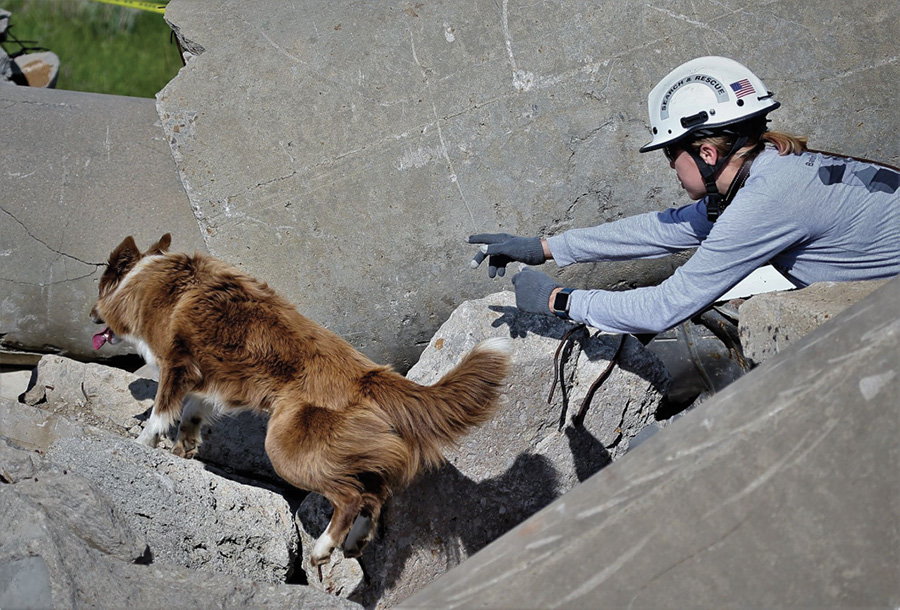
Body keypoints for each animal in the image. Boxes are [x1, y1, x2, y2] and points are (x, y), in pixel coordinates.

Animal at [91, 234, 512, 564]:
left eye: (98, 289)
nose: (91, 314)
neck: (150, 278)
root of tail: (368, 375)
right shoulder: (208, 380)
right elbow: (192, 413)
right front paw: (184, 448)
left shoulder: (178, 365)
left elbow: (161, 411)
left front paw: (143, 443)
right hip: (354, 446)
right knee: (374, 493)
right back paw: (355, 540)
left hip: (286, 449)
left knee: (350, 494)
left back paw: (324, 547)